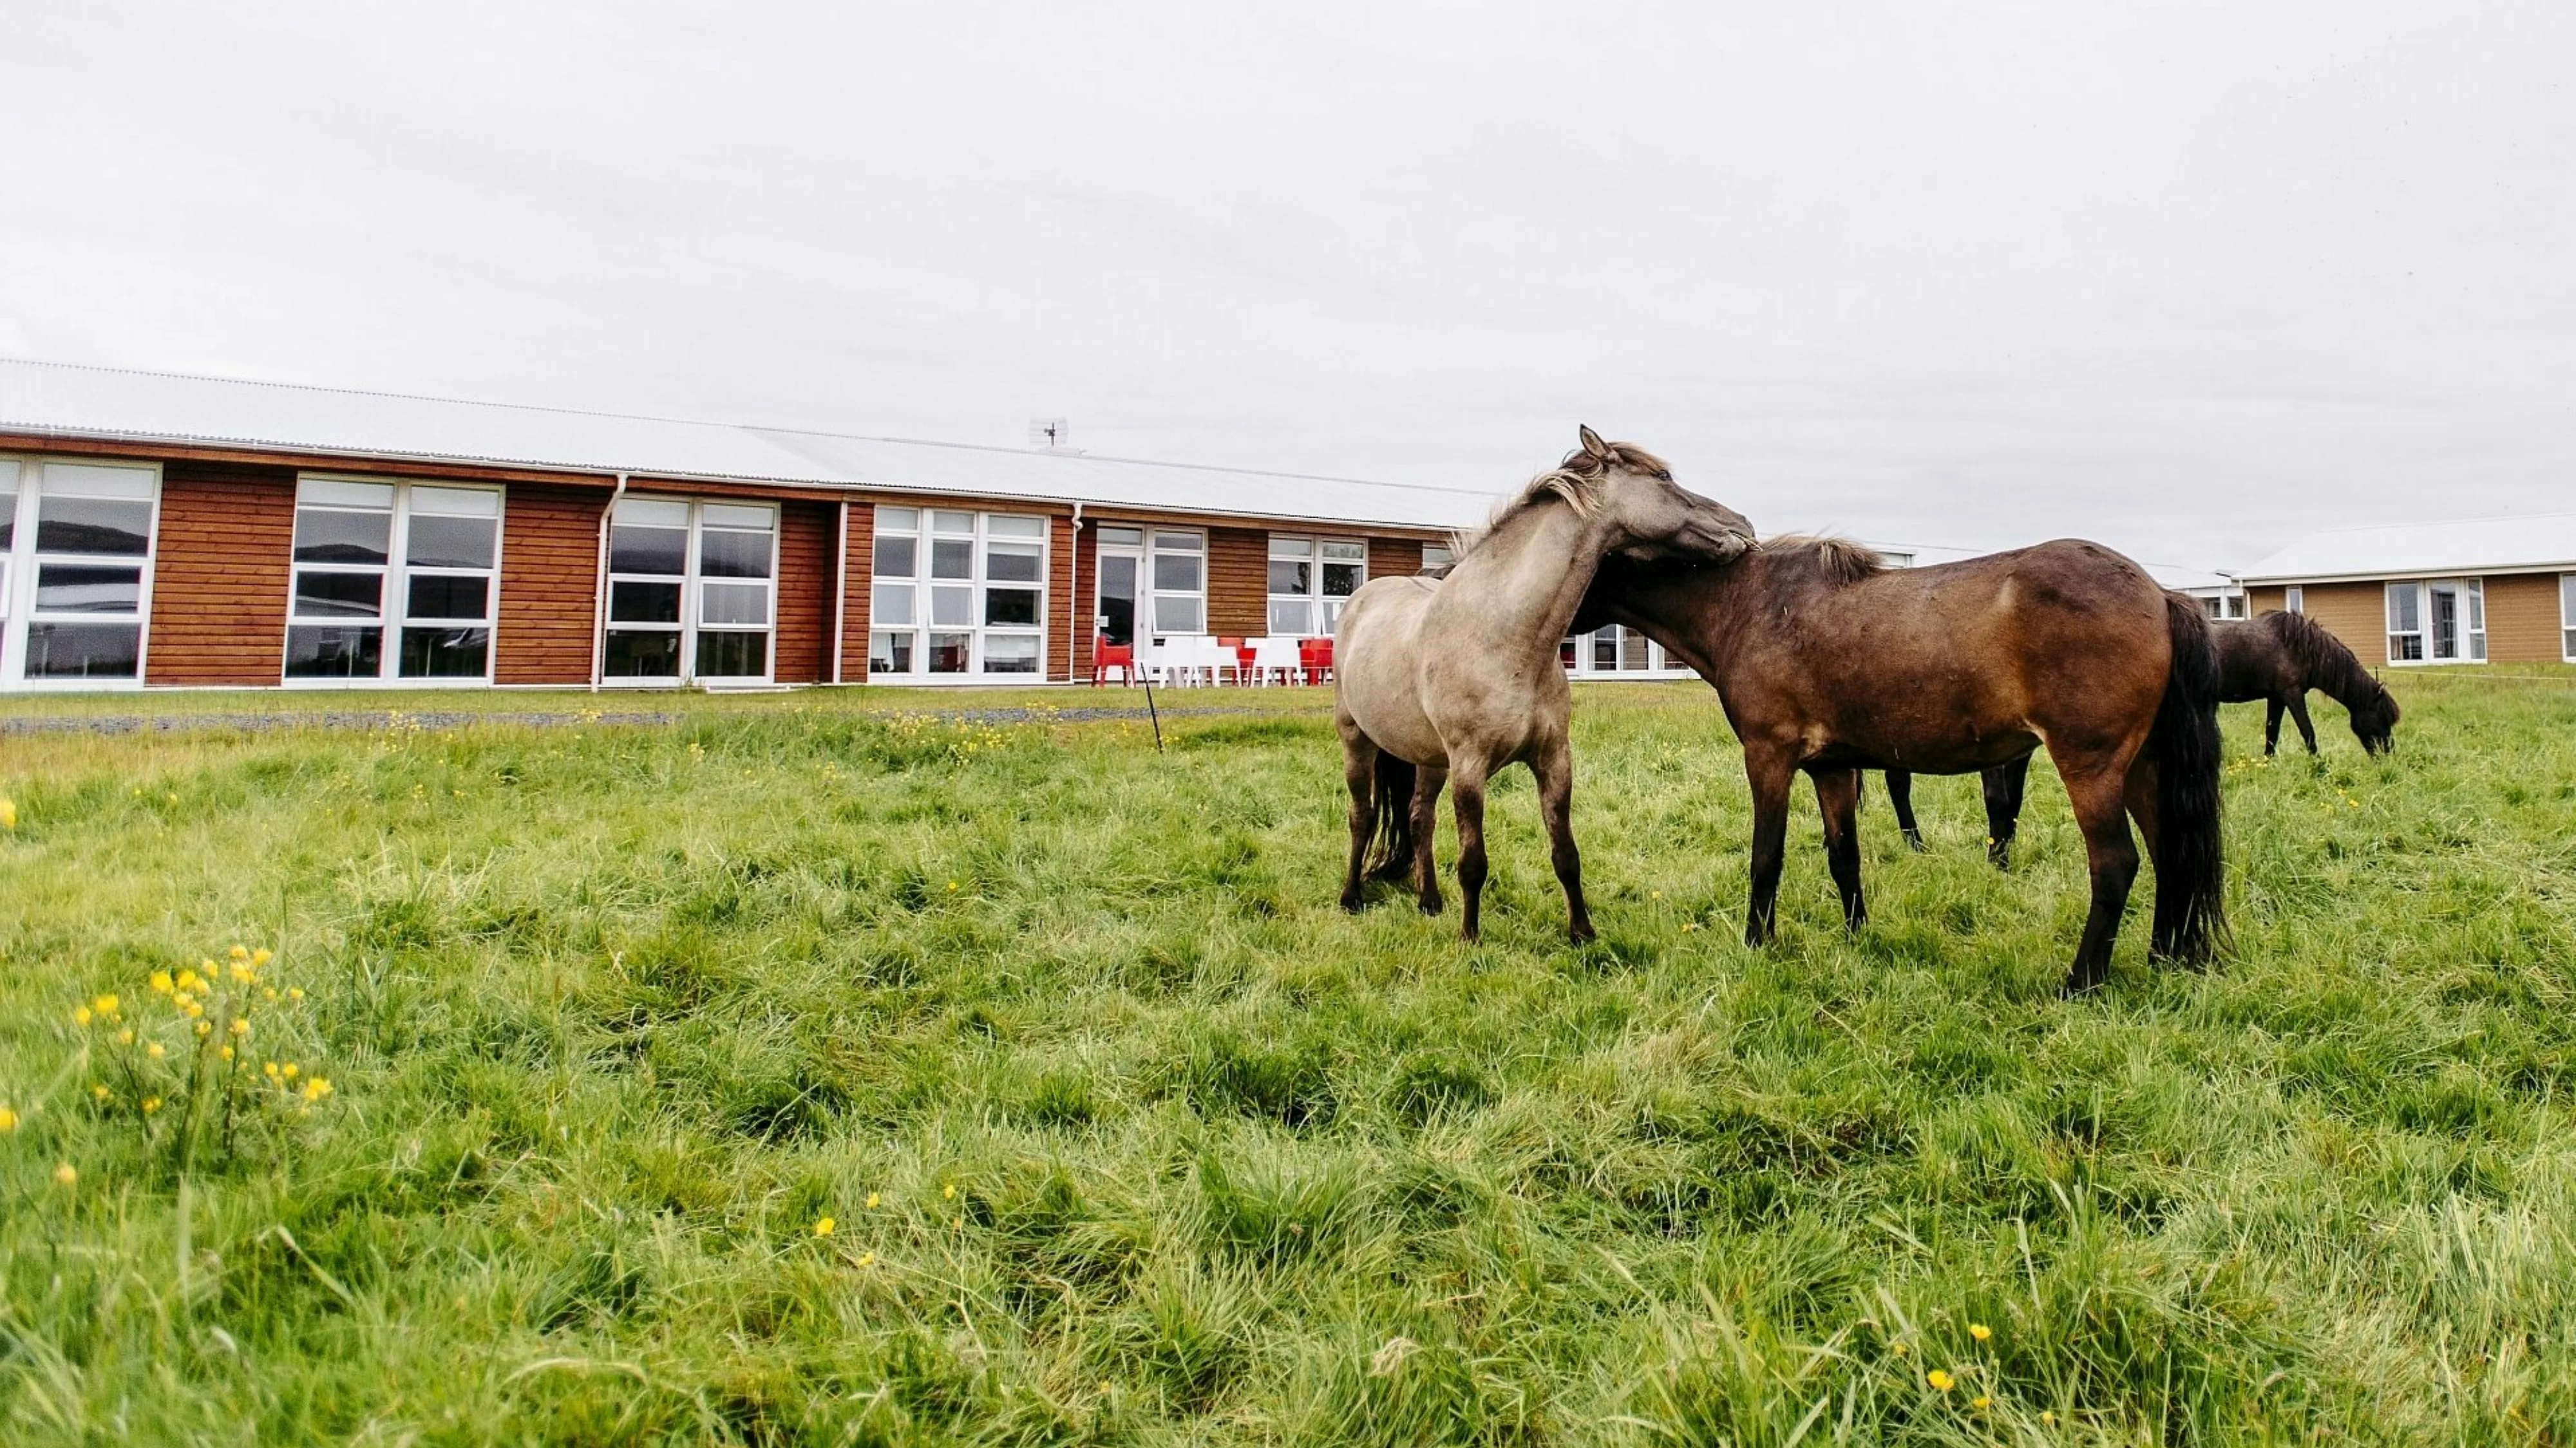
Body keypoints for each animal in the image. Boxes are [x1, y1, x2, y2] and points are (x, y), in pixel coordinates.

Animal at [1340, 425, 1762, 948]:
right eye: (1662, 478)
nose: (1742, 526)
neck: (1505, 638)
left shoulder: (1554, 759)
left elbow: (1566, 854)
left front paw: (1582, 932)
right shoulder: (1470, 768)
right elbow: (1473, 862)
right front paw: (1471, 938)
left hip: (1429, 758)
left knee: (1419, 819)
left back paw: (1429, 902)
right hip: (1357, 739)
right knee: (1362, 815)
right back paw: (1351, 897)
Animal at [1577, 533, 2226, 989]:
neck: (1750, 604)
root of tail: (2161, 596)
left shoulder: (1768, 756)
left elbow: (1766, 860)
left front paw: (1757, 944)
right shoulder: (1832, 767)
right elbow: (1844, 858)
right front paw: (1857, 937)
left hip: (2091, 768)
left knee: (2117, 864)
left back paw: (2080, 981)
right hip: (2141, 767)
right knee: (2170, 853)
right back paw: (2164, 955)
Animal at [1886, 603, 2401, 860]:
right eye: (2382, 721)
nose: (2385, 758)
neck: (2293, 642)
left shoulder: (2277, 696)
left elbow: (2273, 735)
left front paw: (2272, 765)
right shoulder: (2292, 692)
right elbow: (2308, 732)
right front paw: (2315, 764)